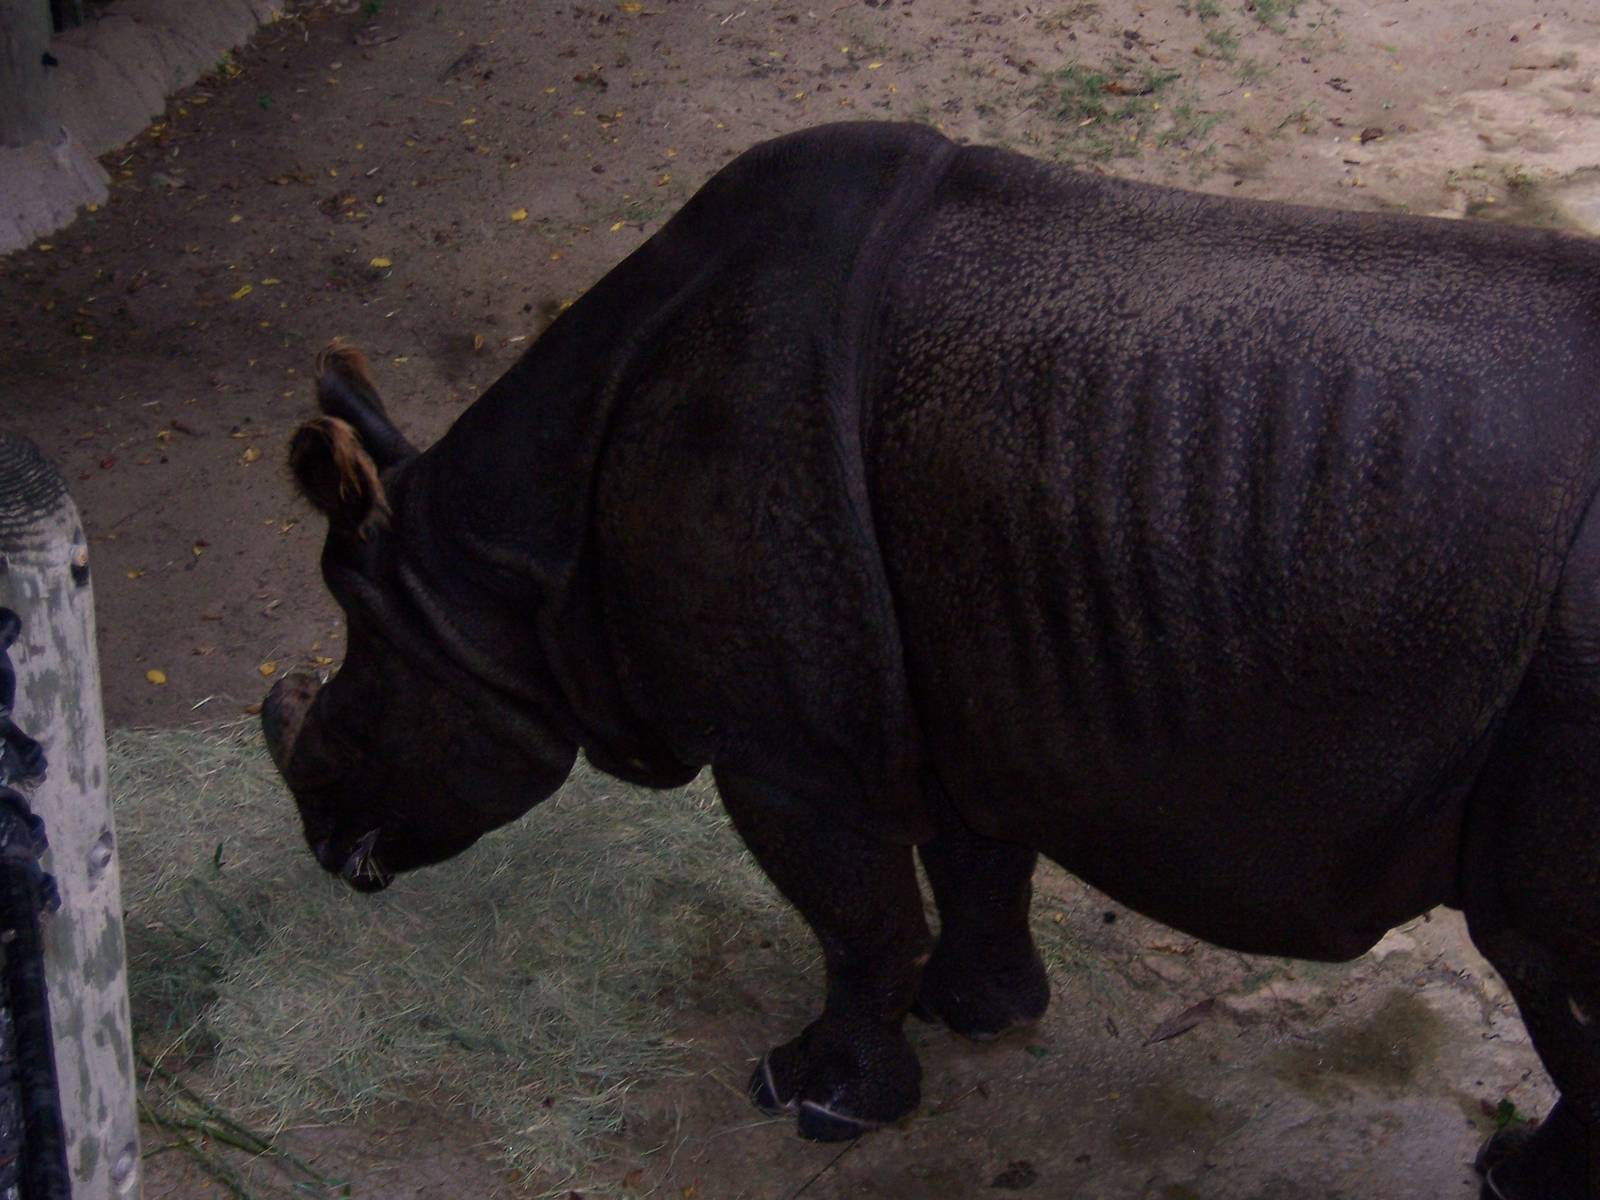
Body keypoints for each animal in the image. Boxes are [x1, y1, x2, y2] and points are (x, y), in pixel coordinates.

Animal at [262, 121, 1600, 1198]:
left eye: (356, 709)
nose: (324, 846)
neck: (506, 568)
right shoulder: (960, 677)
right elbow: (973, 862)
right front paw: (984, 1015)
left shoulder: (782, 747)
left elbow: (855, 920)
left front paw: (811, 1099)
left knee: (1539, 959)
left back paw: (1505, 1177)